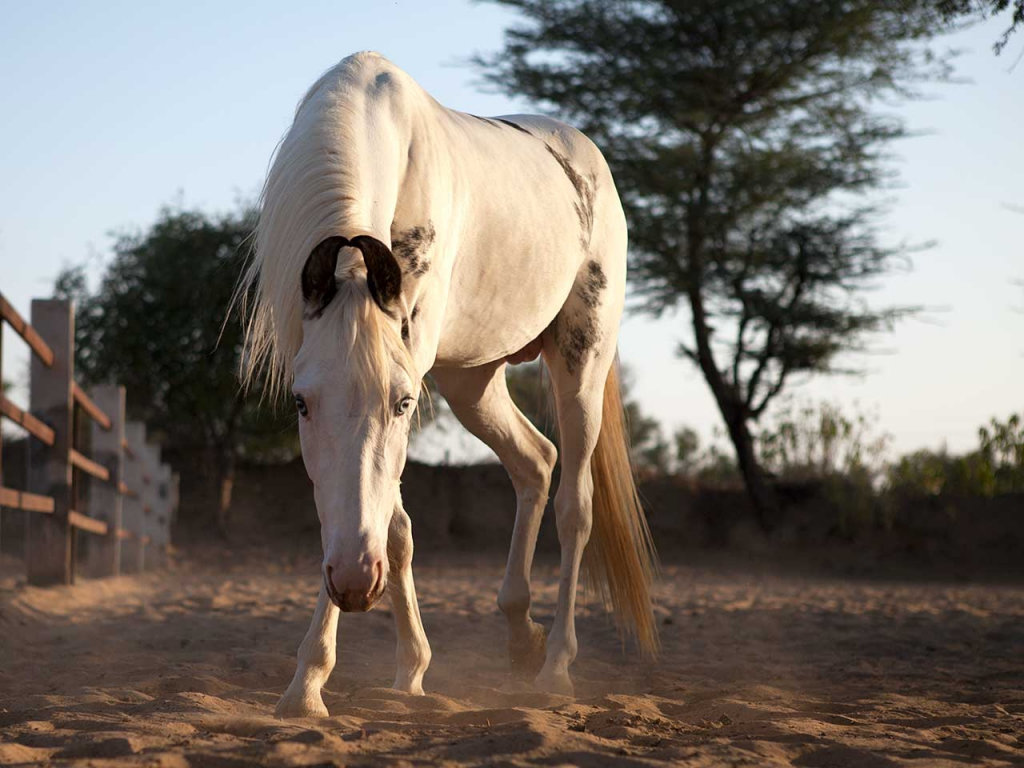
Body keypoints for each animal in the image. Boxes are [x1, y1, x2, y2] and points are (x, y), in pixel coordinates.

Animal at [239, 51, 655, 720]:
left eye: (404, 402)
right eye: (300, 402)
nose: (354, 582)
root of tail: (586, 155)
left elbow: (382, 517)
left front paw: (311, 681)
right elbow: (384, 524)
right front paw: (396, 672)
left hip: (582, 363)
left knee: (575, 506)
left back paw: (556, 667)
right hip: (472, 382)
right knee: (536, 461)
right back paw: (521, 635)